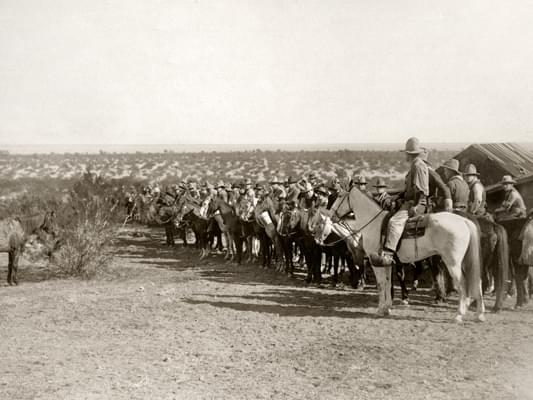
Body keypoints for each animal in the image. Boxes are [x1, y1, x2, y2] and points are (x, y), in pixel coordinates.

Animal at [314, 187, 484, 322]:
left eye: (339, 197)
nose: (331, 215)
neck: (374, 225)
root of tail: (464, 221)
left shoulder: (375, 262)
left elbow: (381, 285)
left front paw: (380, 309)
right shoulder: (386, 262)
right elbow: (388, 283)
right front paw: (387, 307)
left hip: (453, 262)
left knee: (463, 284)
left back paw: (459, 314)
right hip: (465, 261)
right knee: (477, 281)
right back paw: (479, 315)